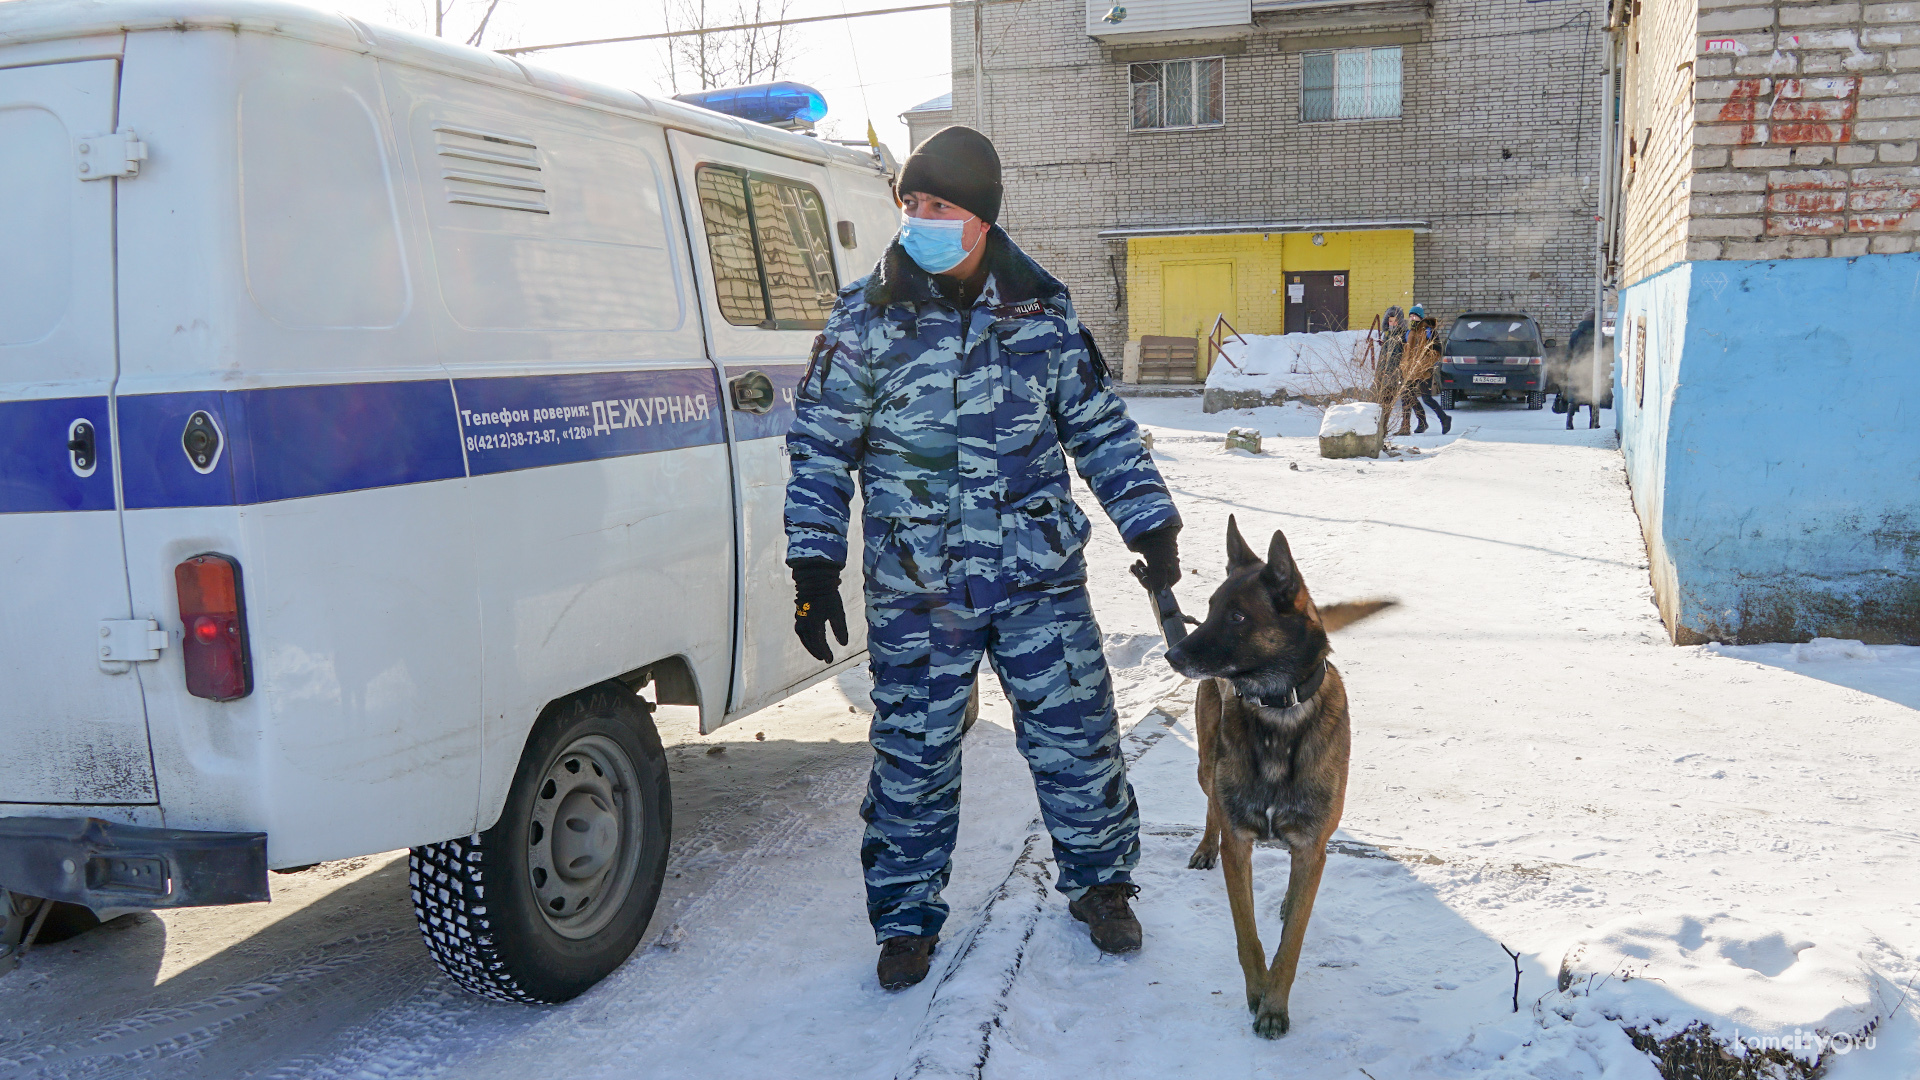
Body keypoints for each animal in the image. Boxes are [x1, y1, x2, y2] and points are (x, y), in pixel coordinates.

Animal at [1152, 515, 1397, 1037]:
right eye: (1209, 609)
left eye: (1238, 617)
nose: (1173, 654)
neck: (1278, 714)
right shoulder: (1239, 845)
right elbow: (1247, 934)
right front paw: (1256, 992)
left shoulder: (1311, 847)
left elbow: (1293, 942)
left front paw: (1274, 1004)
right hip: (1206, 764)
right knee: (1211, 802)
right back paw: (1205, 846)